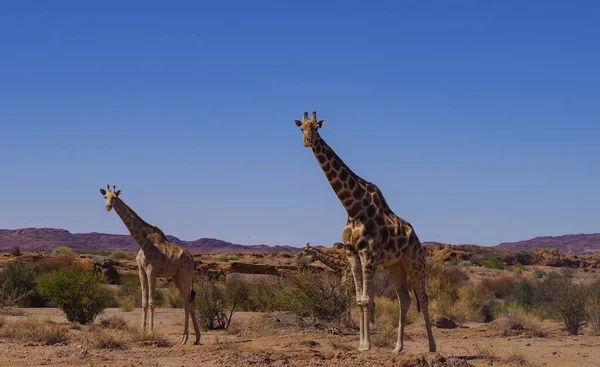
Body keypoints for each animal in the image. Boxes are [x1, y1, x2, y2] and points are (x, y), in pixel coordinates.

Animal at [99, 185, 200, 346]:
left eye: (114, 197)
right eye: (105, 197)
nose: (108, 207)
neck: (143, 242)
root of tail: (191, 259)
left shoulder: (152, 271)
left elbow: (152, 302)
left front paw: (151, 332)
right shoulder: (141, 271)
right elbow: (144, 302)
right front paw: (142, 331)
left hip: (185, 276)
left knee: (187, 302)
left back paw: (184, 338)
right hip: (177, 277)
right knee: (190, 301)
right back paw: (196, 338)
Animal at [296, 112, 436, 354]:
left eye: (316, 127)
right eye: (301, 128)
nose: (307, 141)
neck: (352, 208)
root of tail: (417, 240)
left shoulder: (367, 254)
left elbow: (366, 299)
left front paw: (367, 344)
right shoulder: (352, 253)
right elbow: (360, 299)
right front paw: (361, 344)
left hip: (415, 263)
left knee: (423, 298)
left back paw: (432, 346)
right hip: (395, 266)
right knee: (405, 299)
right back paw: (397, 347)